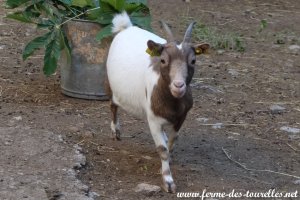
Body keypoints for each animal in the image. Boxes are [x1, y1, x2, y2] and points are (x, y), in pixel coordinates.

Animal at [105, 11, 209, 193]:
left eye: (193, 61)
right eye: (163, 60)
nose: (178, 85)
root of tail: (126, 27)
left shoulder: (181, 118)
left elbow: (172, 143)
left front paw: (168, 161)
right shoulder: (153, 120)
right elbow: (162, 150)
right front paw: (168, 181)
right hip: (114, 87)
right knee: (113, 105)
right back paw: (116, 131)